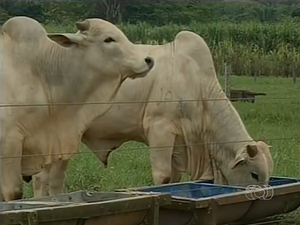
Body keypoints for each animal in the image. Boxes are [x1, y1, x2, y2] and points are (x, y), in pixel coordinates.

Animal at [31, 30, 274, 198]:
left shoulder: (178, 144)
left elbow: (175, 179)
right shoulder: (159, 130)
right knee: (45, 178)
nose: (265, 195)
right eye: (254, 174)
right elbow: (163, 176)